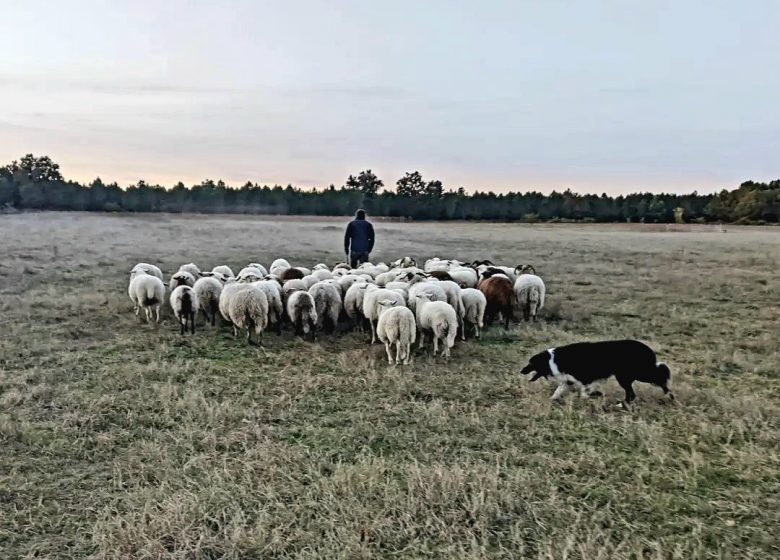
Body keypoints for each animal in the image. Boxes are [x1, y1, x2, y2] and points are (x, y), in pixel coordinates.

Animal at [520, 336, 672, 402]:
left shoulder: (585, 377)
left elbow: (583, 392)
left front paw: (594, 395)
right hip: (626, 376)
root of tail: (647, 349)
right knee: (632, 393)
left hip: (633, 375)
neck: (552, 360)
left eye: (531, 363)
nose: (521, 371)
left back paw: (668, 394)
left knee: (660, 376)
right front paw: (552, 399)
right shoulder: (569, 380)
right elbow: (559, 390)